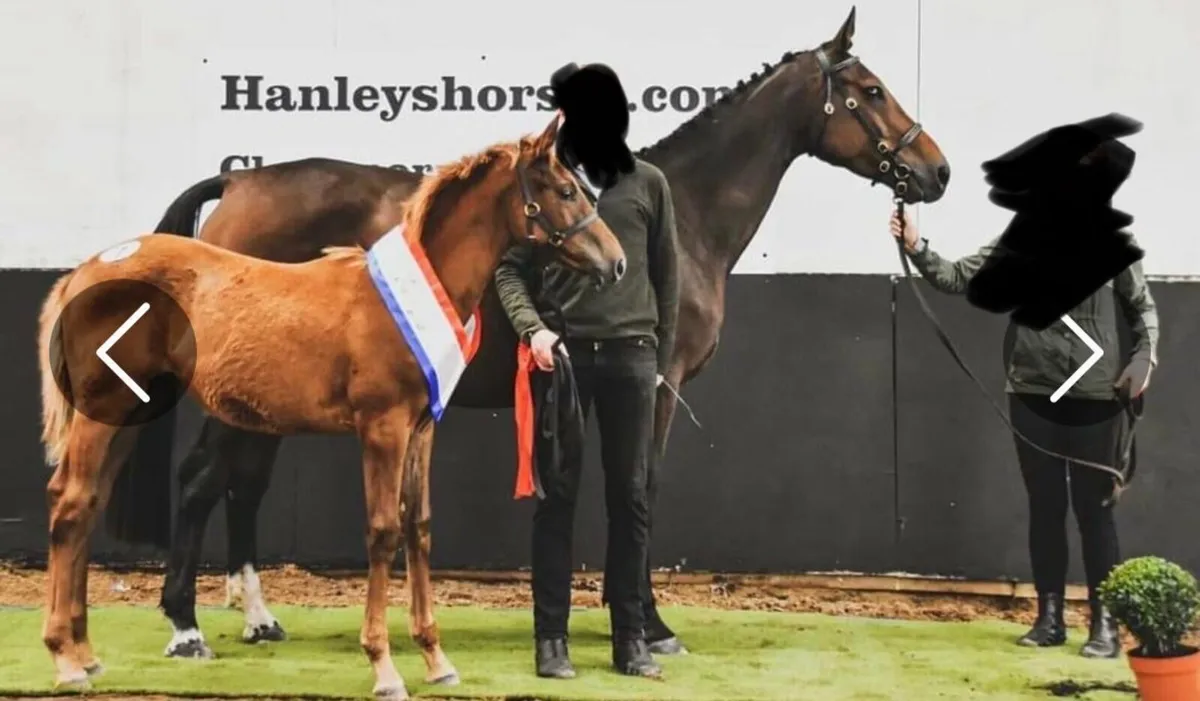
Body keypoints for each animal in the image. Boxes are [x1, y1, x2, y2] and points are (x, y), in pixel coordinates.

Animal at [36, 117, 625, 700]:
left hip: (136, 411)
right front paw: (384, 667)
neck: (408, 296)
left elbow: (419, 527)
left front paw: (436, 659)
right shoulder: (382, 427)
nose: (616, 262)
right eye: (567, 190)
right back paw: (80, 655)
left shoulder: (421, 428)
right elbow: (383, 530)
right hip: (110, 409)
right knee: (76, 500)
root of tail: (85, 271)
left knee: (97, 501)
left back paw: (91, 653)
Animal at [119, 6, 952, 657]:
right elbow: (641, 486)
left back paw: (257, 618)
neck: (686, 214)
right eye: (871, 91)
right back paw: (186, 627)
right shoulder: (656, 384)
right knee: (201, 478)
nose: (936, 172)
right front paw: (649, 624)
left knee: (242, 483)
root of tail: (240, 181)